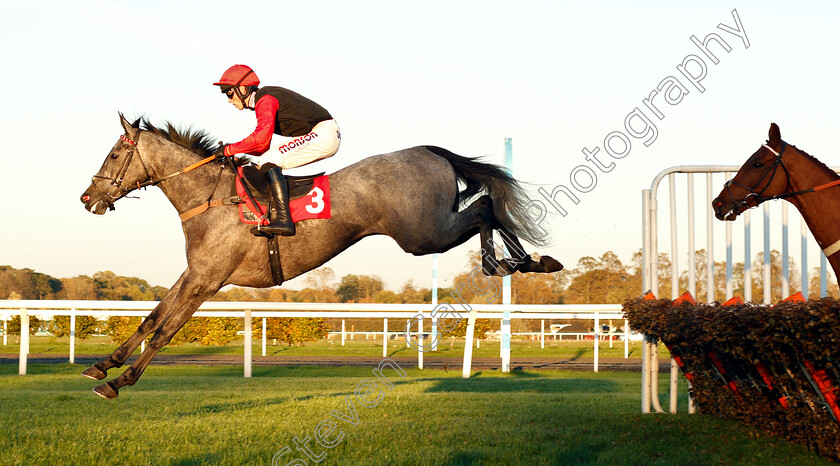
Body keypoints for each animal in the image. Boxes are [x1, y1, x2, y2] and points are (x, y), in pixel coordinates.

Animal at [80, 114, 564, 400]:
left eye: (115, 153)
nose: (87, 197)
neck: (209, 198)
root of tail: (429, 150)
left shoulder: (207, 280)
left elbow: (165, 330)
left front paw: (120, 382)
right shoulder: (195, 273)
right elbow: (151, 318)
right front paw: (103, 365)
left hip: (423, 233)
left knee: (485, 208)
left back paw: (513, 262)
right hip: (427, 230)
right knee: (486, 207)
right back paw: (526, 261)